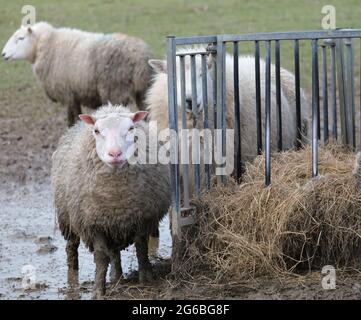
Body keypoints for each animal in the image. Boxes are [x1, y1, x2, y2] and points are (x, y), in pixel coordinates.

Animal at [3, 22, 155, 126]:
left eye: (21, 38)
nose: (3, 54)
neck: (47, 46)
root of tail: (141, 58)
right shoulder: (74, 95)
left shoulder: (68, 94)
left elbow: (72, 120)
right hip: (143, 91)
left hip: (115, 91)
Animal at [49, 104, 172, 298]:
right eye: (97, 131)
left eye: (131, 128)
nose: (115, 154)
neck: (116, 198)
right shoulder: (94, 224)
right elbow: (100, 257)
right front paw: (98, 290)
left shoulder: (142, 217)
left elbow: (141, 247)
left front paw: (146, 278)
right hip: (68, 218)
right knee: (72, 247)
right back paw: (73, 274)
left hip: (114, 225)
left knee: (114, 252)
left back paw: (117, 276)